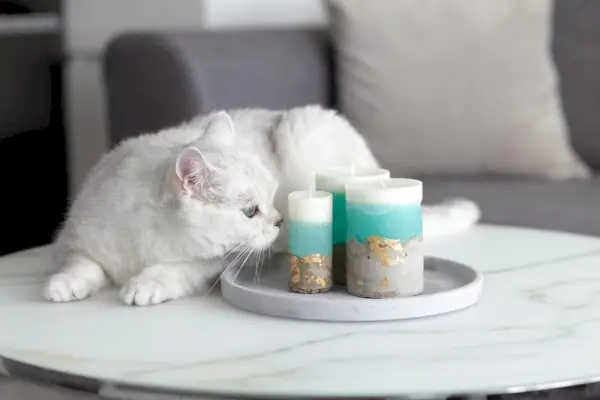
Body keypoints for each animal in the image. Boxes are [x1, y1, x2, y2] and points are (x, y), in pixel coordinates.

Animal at [44, 104, 480, 304]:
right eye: (250, 211)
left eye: (270, 200)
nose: (278, 220)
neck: (144, 242)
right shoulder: (76, 240)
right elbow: (82, 264)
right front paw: (64, 285)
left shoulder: (213, 263)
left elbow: (176, 268)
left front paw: (145, 284)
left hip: (303, 130)